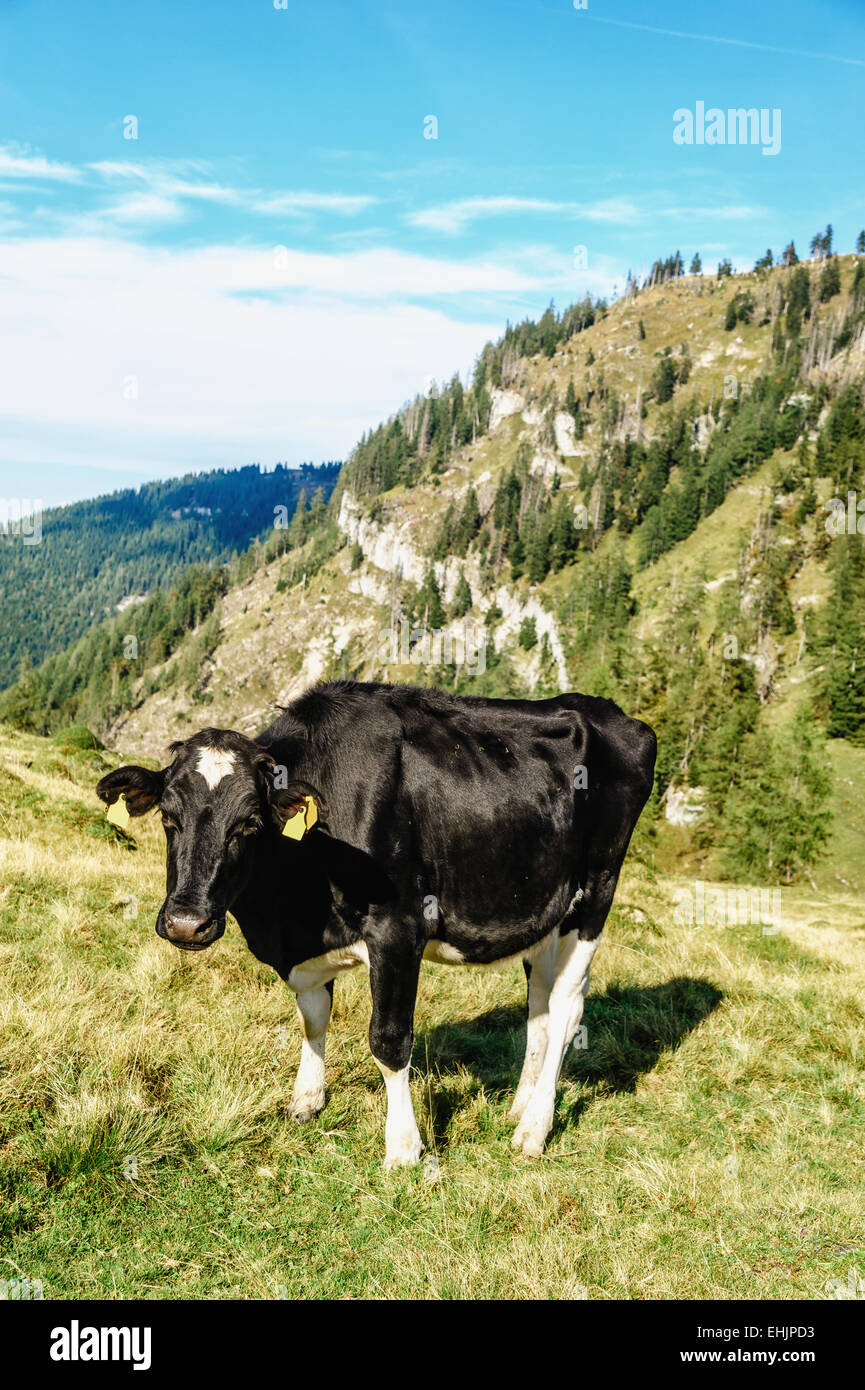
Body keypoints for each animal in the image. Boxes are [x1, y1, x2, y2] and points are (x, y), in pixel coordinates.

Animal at [96, 681, 656, 1166]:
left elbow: (389, 1040)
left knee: (566, 1007)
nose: (186, 923)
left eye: (249, 824)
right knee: (539, 1004)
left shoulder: (398, 927)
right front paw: (306, 1100)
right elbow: (313, 1018)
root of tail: (611, 711)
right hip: (544, 908)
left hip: (595, 893)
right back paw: (520, 1105)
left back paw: (534, 1129)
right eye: (168, 817)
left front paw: (403, 1148)